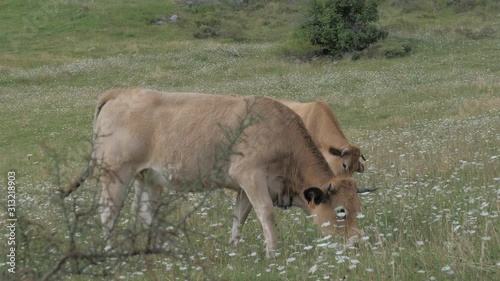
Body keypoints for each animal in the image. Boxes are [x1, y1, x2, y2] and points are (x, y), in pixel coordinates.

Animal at [65, 88, 376, 256]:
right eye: (341, 212)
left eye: (359, 209)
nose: (356, 244)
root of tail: (122, 93)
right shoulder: (251, 176)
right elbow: (265, 213)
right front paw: (272, 253)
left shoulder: (245, 187)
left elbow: (241, 216)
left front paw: (234, 249)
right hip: (116, 172)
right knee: (109, 212)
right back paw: (109, 251)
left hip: (149, 176)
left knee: (143, 210)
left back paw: (166, 248)